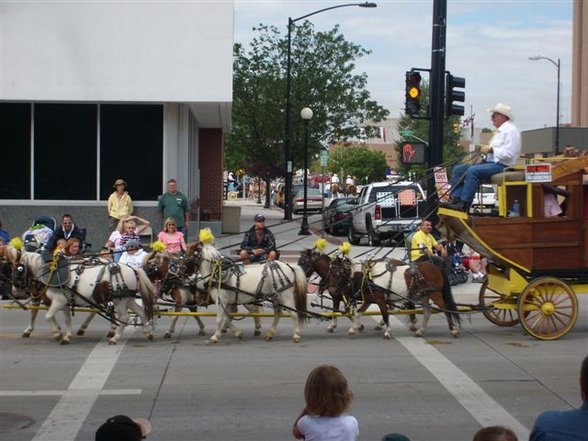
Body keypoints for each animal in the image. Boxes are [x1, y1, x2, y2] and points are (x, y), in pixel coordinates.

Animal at [7, 244, 154, 344]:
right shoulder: (64, 302)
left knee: (124, 317)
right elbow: (66, 319)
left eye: (18, 269)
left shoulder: (59, 300)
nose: (14, 289)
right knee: (141, 311)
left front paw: (56, 334)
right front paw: (66, 336)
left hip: (120, 300)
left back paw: (115, 337)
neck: (50, 272)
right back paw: (147, 332)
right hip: (127, 298)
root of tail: (133, 269)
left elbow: (48, 316)